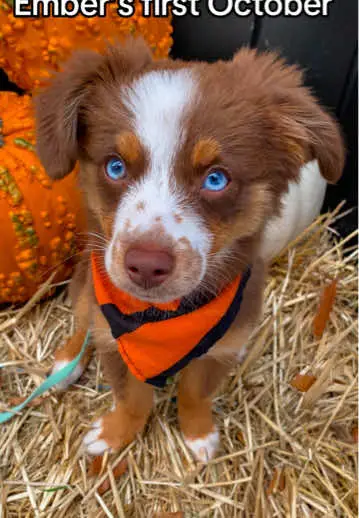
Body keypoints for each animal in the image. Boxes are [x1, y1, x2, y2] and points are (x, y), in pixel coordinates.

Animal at [34, 38, 346, 466]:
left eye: (216, 179)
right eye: (115, 167)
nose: (145, 266)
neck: (163, 316)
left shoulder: (223, 343)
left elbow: (195, 392)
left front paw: (198, 434)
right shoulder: (114, 339)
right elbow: (132, 398)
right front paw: (114, 435)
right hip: (87, 285)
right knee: (82, 322)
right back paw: (66, 364)